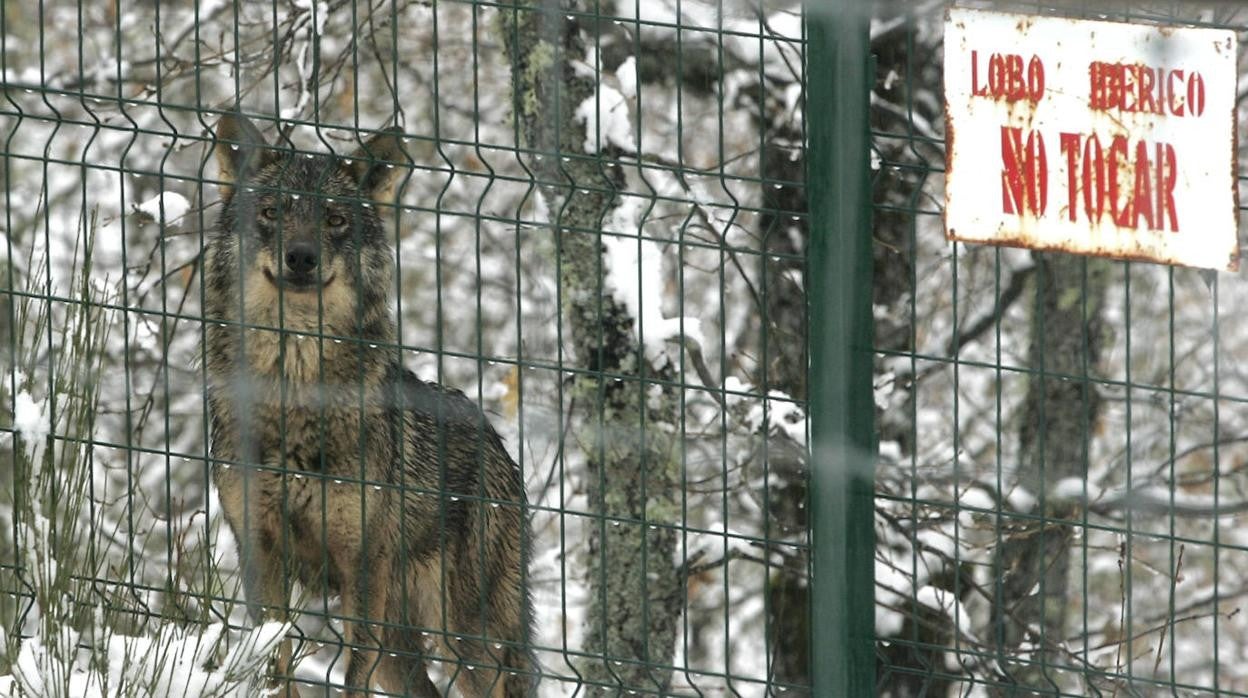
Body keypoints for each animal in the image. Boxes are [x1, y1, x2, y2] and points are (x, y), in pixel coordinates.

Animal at [202, 111, 534, 694]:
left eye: (335, 220)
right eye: (271, 212)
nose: (302, 257)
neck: (295, 396)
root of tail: (498, 444)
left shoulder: (362, 567)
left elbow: (352, 671)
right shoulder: (260, 555)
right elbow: (273, 663)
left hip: (466, 638)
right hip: (405, 648)